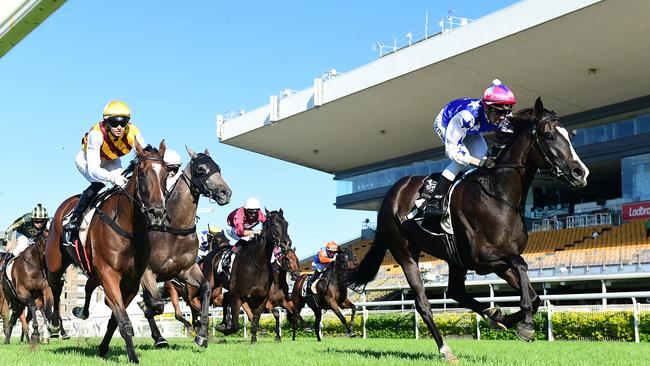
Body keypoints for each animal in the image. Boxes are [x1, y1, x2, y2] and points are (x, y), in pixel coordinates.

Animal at [45, 141, 167, 364]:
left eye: (166, 174)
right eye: (142, 173)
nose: (157, 212)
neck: (129, 228)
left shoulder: (131, 280)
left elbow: (118, 318)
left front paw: (103, 347)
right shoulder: (109, 274)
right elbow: (123, 320)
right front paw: (133, 357)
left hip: (93, 269)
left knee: (88, 287)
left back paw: (81, 311)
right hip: (56, 263)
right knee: (56, 288)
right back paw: (55, 325)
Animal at [215, 209, 292, 344]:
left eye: (286, 224)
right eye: (273, 224)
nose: (287, 243)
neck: (258, 264)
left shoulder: (262, 298)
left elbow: (256, 319)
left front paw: (254, 340)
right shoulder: (237, 296)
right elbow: (236, 324)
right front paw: (225, 329)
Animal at [344, 98, 588, 364]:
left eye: (569, 135)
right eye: (549, 135)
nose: (580, 173)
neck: (498, 196)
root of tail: (393, 193)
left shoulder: (498, 261)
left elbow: (534, 296)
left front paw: (507, 319)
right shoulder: (481, 257)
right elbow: (522, 264)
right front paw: (523, 325)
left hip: (455, 258)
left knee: (455, 290)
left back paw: (493, 315)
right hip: (405, 252)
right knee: (423, 303)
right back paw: (445, 349)